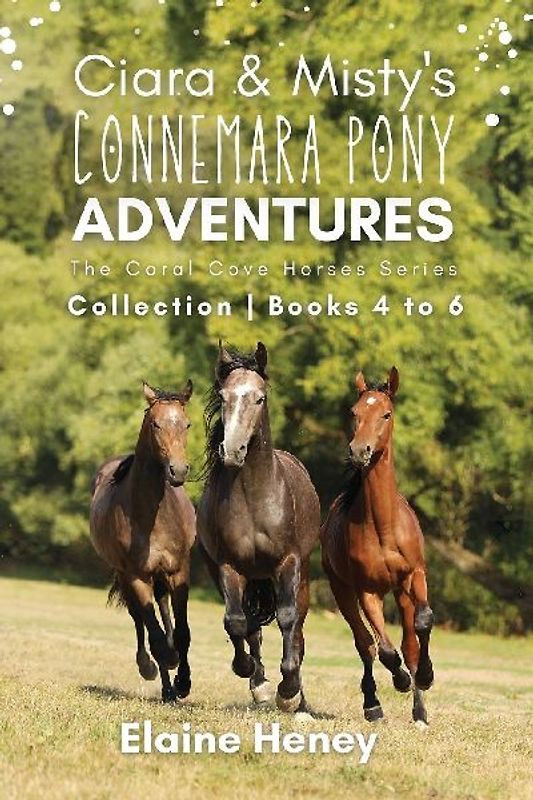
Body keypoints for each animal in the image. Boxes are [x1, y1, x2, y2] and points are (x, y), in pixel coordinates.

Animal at [90, 380, 196, 703]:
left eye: (186, 424)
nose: (178, 471)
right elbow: (155, 636)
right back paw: (155, 674)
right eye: (156, 424)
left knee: (163, 610)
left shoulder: (178, 570)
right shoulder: (136, 576)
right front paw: (167, 675)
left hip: (160, 576)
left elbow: (182, 632)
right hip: (129, 577)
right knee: (140, 620)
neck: (152, 517)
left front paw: (184, 682)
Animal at [197, 342, 321, 713]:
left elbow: (287, 619)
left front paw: (287, 691)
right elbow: (237, 622)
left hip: (301, 577)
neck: (255, 498)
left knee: (298, 631)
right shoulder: (229, 566)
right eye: (223, 396)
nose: (232, 451)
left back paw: (299, 702)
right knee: (251, 626)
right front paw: (257, 680)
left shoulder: (287, 563)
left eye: (260, 398)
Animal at [320, 367, 434, 727]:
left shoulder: (414, 576)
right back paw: (373, 705)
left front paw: (425, 677)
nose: (360, 451)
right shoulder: (366, 590)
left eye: (386, 414)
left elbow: (422, 624)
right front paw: (399, 680)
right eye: (354, 413)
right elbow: (382, 649)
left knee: (408, 642)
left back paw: (419, 710)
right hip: (342, 590)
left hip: (399, 592)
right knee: (365, 644)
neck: (383, 526)